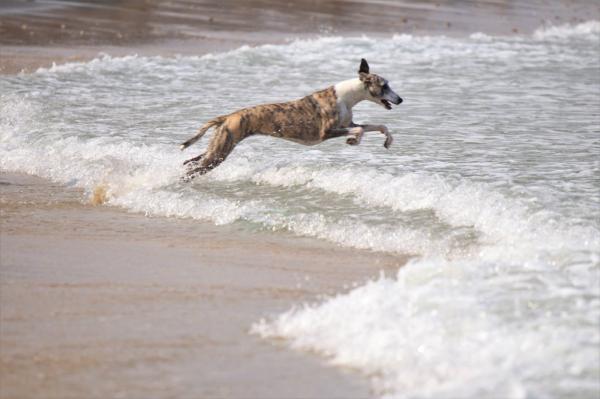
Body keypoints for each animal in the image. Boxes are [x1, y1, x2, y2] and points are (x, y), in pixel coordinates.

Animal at [180, 58, 400, 178]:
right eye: (384, 86)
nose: (400, 99)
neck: (346, 96)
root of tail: (228, 116)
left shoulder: (348, 123)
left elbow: (378, 125)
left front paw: (388, 140)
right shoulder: (326, 132)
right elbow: (360, 129)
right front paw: (354, 140)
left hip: (217, 147)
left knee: (190, 162)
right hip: (219, 153)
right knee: (191, 170)